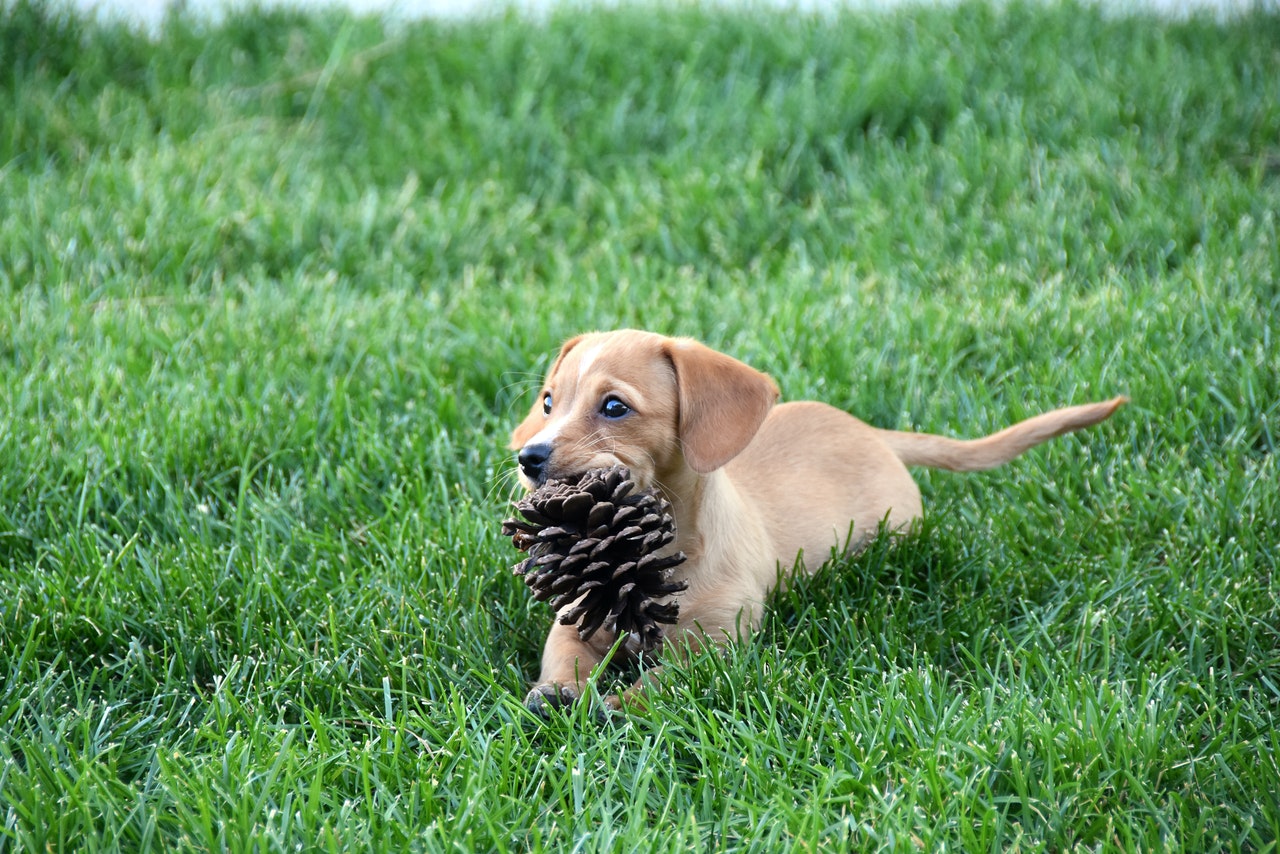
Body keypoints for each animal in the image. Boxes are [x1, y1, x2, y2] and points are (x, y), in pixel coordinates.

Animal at [504, 330, 1126, 711]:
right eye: (548, 402)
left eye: (615, 407)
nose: (529, 458)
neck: (647, 558)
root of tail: (874, 434)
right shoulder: (575, 620)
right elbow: (562, 658)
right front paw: (555, 694)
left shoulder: (715, 646)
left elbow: (660, 682)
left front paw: (613, 705)